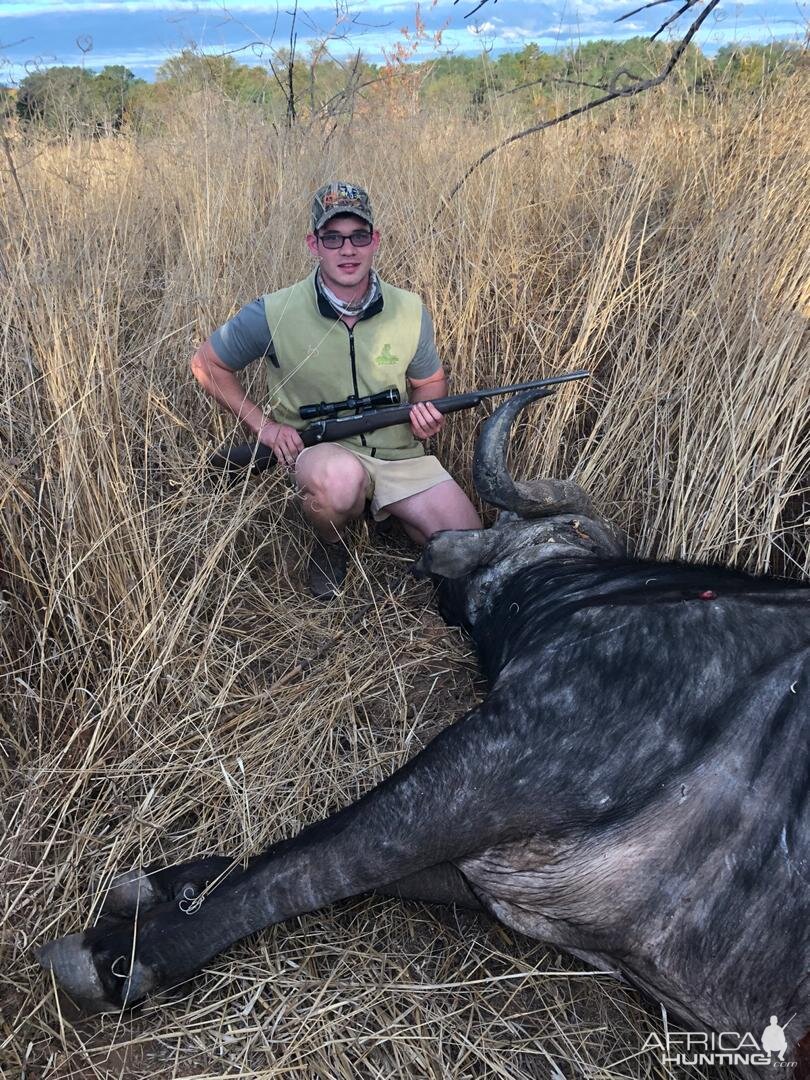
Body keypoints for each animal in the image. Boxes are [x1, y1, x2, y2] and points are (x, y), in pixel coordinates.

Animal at [38, 393, 810, 1075]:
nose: (437, 555)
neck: (610, 596)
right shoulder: (504, 872)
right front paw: (160, 886)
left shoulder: (496, 760)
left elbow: (308, 864)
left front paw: (119, 954)